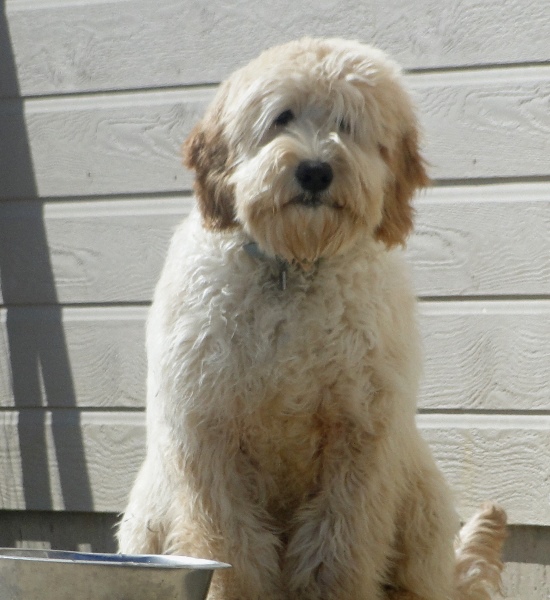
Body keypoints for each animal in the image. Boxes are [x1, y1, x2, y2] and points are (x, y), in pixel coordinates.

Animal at [118, 37, 506, 600]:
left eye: (348, 123)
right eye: (282, 116)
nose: (316, 171)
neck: (294, 268)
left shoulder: (358, 439)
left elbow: (338, 552)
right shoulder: (210, 437)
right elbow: (230, 550)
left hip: (421, 510)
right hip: (147, 515)